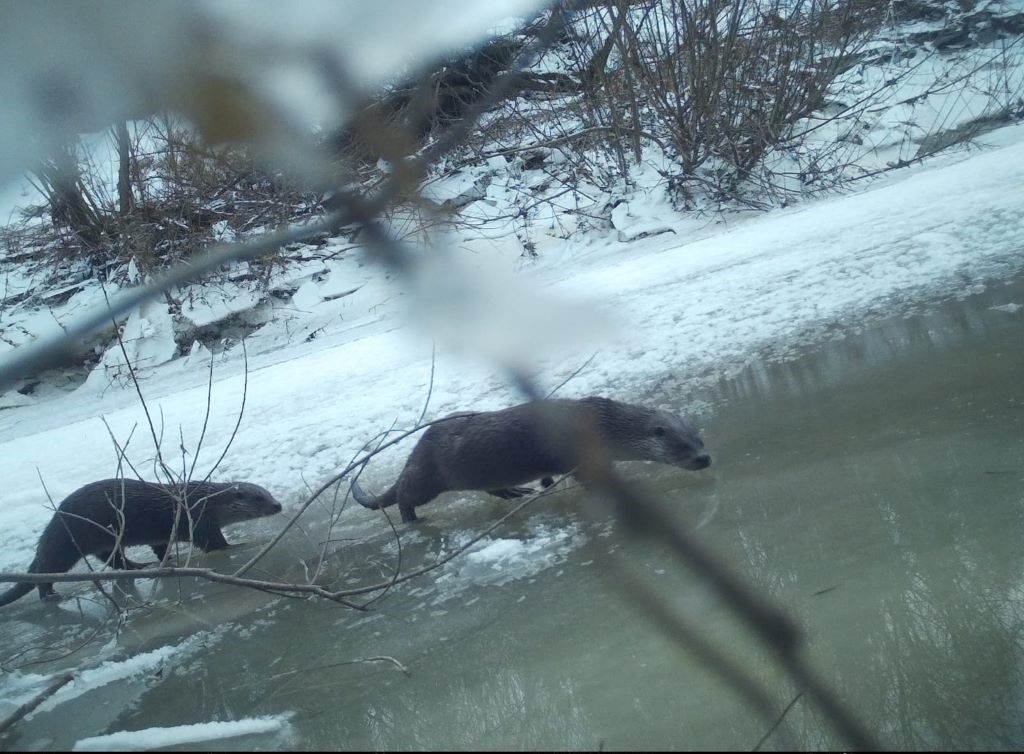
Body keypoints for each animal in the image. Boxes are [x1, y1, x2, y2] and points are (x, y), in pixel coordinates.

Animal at [0, 479, 282, 610]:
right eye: (259, 498)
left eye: (269, 493)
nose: (278, 505)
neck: (207, 502)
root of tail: (54, 521)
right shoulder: (200, 521)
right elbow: (215, 543)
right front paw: (241, 544)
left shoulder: (166, 534)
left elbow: (161, 548)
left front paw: (167, 559)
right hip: (69, 543)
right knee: (47, 568)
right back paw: (49, 594)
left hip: (106, 540)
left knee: (113, 558)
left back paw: (136, 566)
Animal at [352, 395, 712, 524]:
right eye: (682, 446)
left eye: (699, 437)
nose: (705, 458)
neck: (600, 425)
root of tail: (418, 446)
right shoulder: (575, 455)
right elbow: (590, 477)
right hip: (430, 476)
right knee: (404, 494)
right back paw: (412, 520)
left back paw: (514, 492)